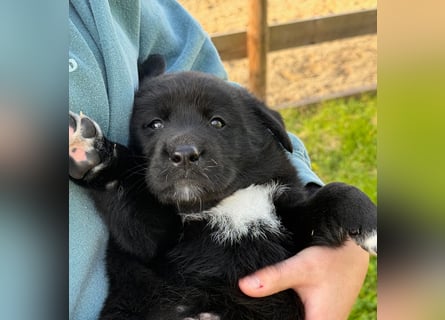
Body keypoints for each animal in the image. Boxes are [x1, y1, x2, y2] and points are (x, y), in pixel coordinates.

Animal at [68, 55, 374, 320]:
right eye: (155, 124)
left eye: (217, 122)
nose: (184, 154)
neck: (225, 202)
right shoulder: (150, 241)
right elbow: (128, 202)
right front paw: (94, 151)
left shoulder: (293, 225)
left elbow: (335, 193)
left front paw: (368, 223)